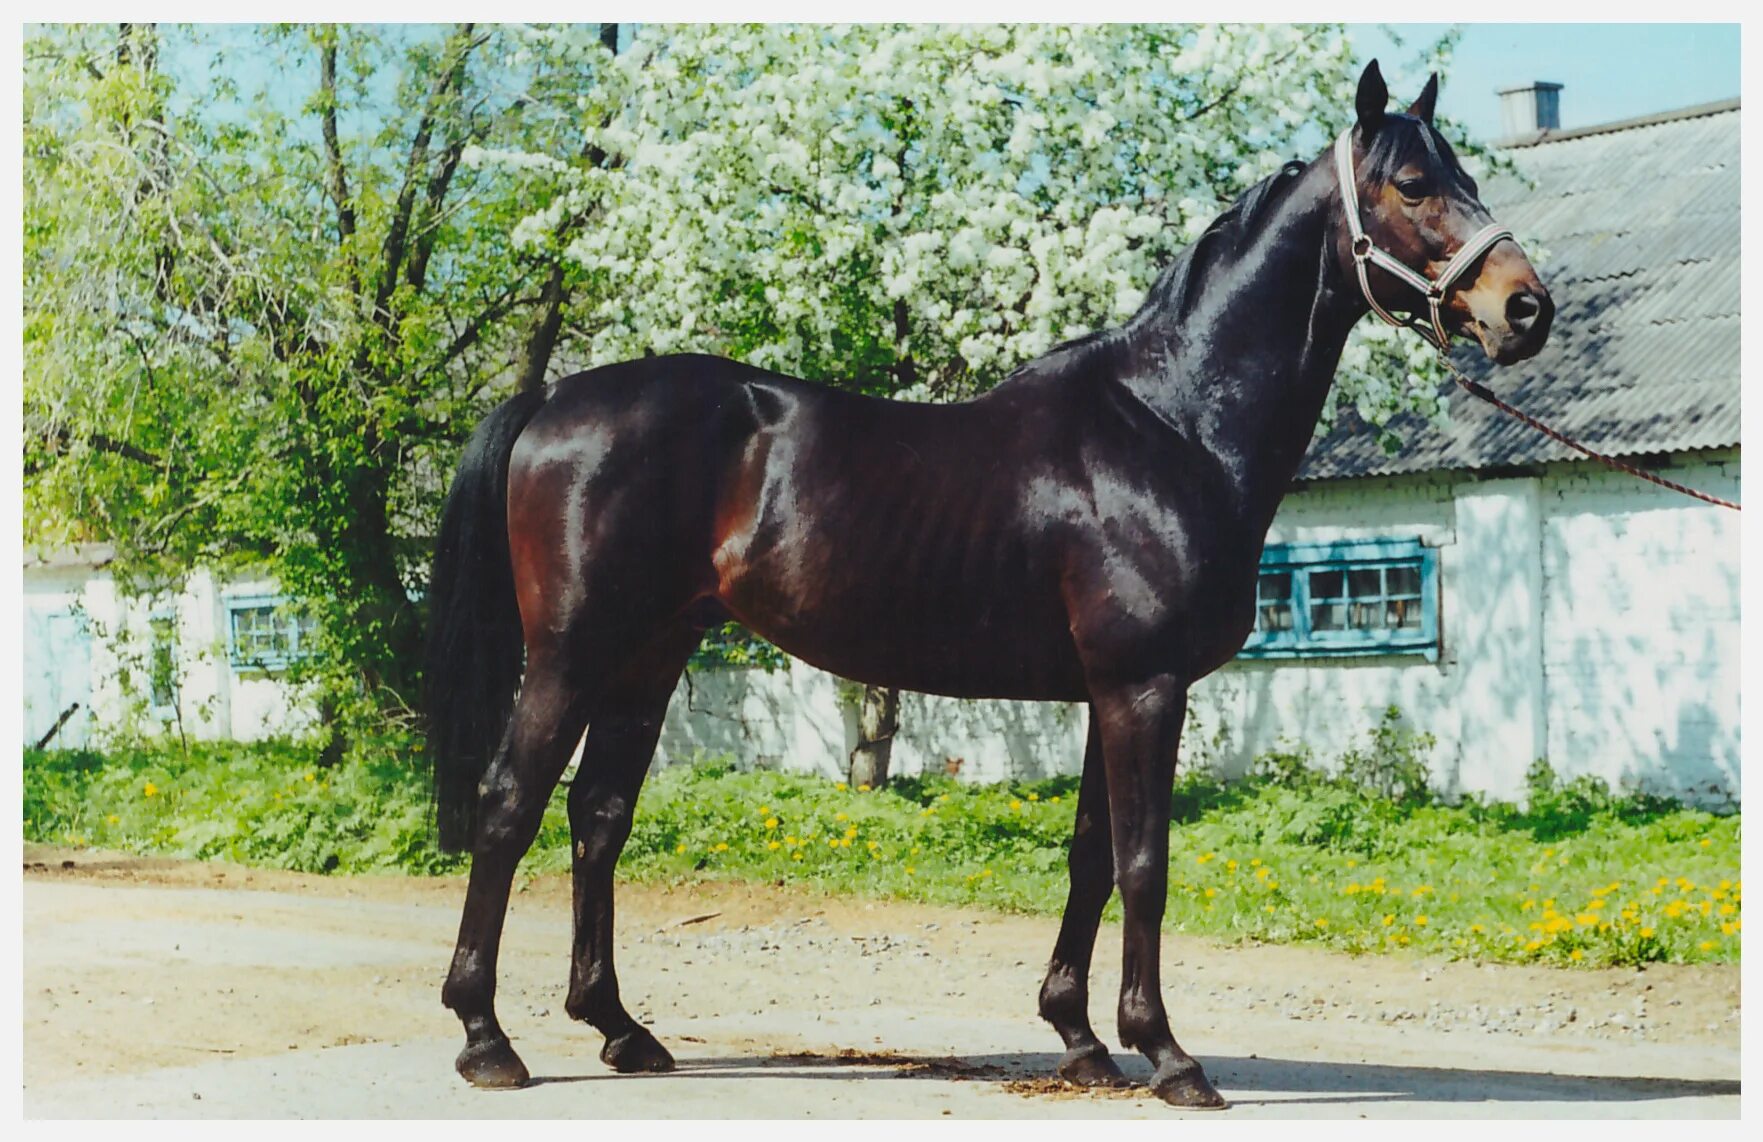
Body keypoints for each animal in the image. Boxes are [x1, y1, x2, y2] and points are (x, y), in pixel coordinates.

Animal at [423, 62, 1544, 1106]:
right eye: (1412, 183)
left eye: (1466, 175)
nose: (1523, 309)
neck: (1169, 422)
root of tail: (553, 398)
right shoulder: (1144, 688)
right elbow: (1144, 861)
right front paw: (1167, 1054)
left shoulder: (1109, 692)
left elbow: (1091, 854)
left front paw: (1081, 1038)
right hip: (570, 652)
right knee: (509, 804)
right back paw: (486, 1039)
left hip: (649, 653)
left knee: (597, 814)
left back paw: (620, 1027)